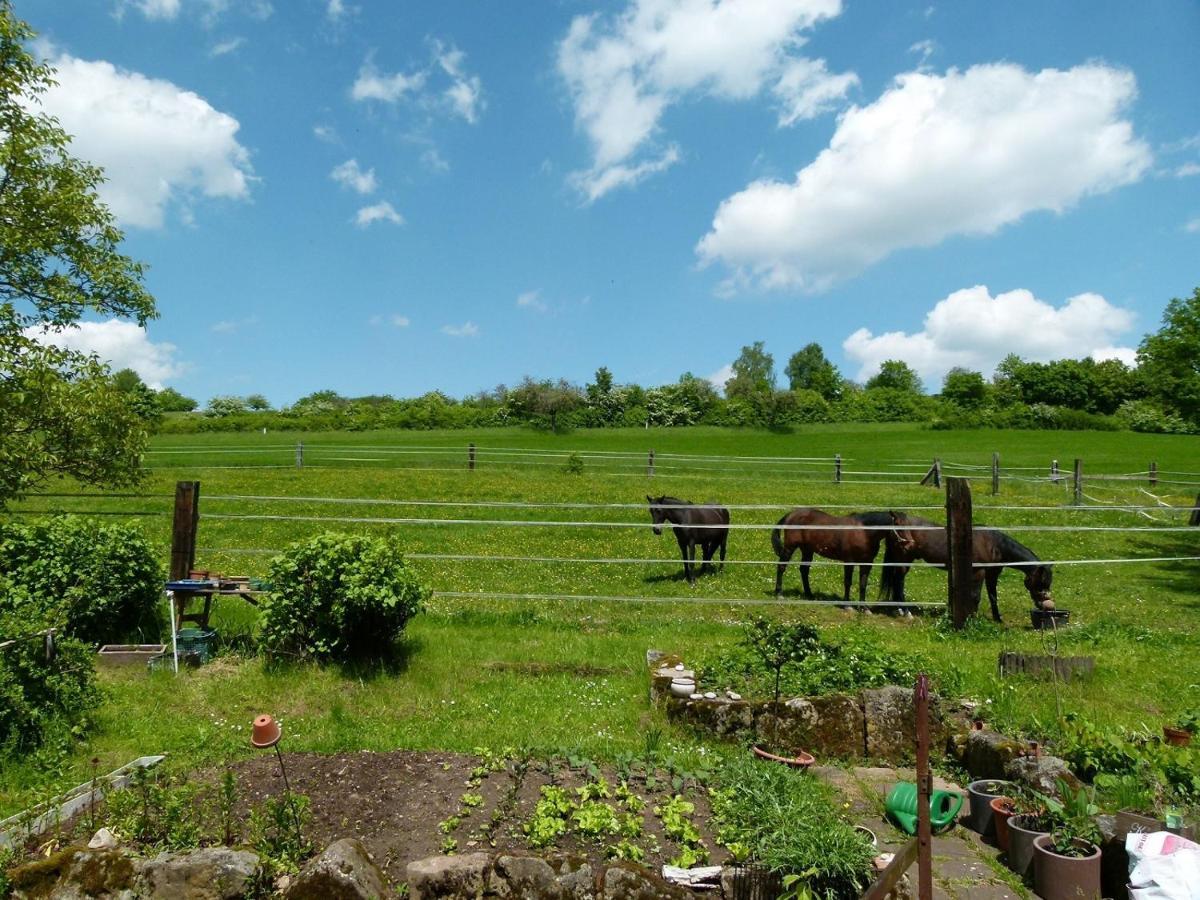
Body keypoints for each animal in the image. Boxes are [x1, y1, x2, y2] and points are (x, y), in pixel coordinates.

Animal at [768, 511, 902, 602]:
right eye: (900, 526)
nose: (907, 545)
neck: (864, 532)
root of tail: (792, 514)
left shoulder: (867, 562)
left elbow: (863, 583)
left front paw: (864, 608)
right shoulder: (849, 561)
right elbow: (848, 582)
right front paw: (847, 604)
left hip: (807, 550)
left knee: (804, 570)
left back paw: (809, 594)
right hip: (790, 547)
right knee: (781, 567)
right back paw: (779, 593)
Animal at [878, 511, 1056, 624]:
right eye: (1041, 582)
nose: (1044, 605)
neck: (994, 544)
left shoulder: (992, 574)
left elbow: (993, 596)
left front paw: (998, 619)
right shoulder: (979, 572)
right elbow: (976, 596)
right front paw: (972, 618)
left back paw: (899, 610)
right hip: (903, 560)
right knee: (899, 582)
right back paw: (906, 613)